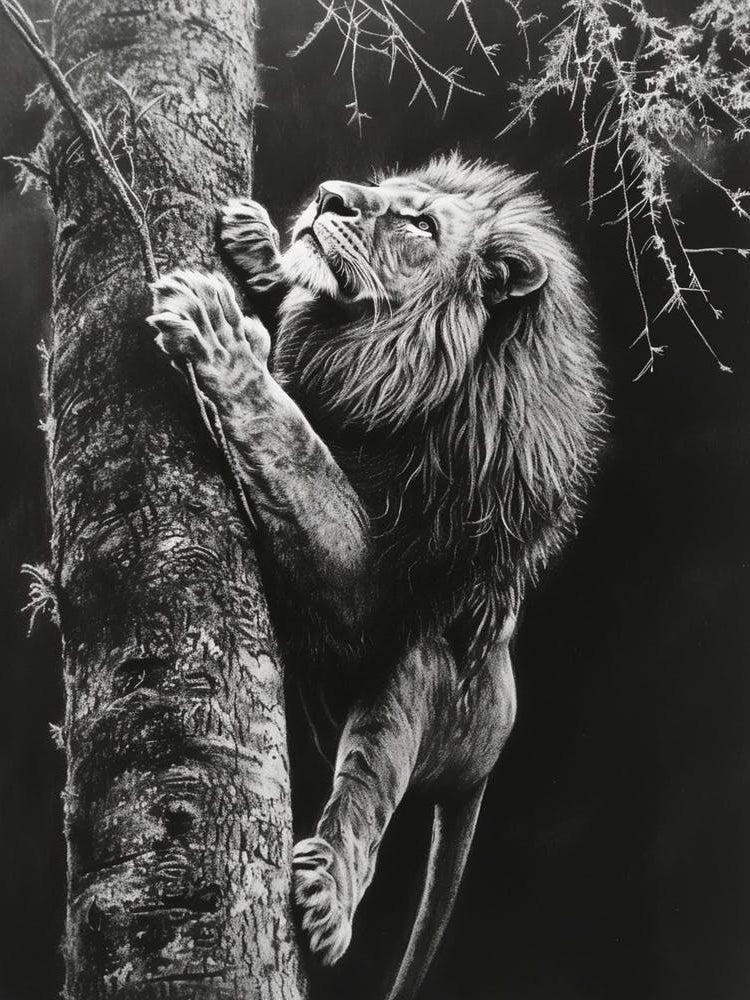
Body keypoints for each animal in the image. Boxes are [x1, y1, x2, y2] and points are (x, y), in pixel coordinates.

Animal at [147, 153, 606, 1000]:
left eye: (420, 224)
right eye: (379, 190)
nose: (330, 197)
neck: (382, 362)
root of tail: (493, 744)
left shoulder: (373, 588)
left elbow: (296, 447)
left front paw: (223, 338)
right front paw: (261, 247)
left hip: (422, 674)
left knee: (367, 793)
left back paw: (330, 893)